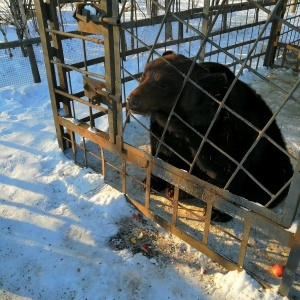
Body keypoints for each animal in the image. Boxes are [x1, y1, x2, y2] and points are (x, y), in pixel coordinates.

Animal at [126, 51, 292, 220]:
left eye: (163, 84)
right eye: (144, 75)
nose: (132, 100)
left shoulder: (228, 132)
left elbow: (226, 169)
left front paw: (217, 212)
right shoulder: (163, 130)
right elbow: (163, 153)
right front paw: (151, 180)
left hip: (272, 167)